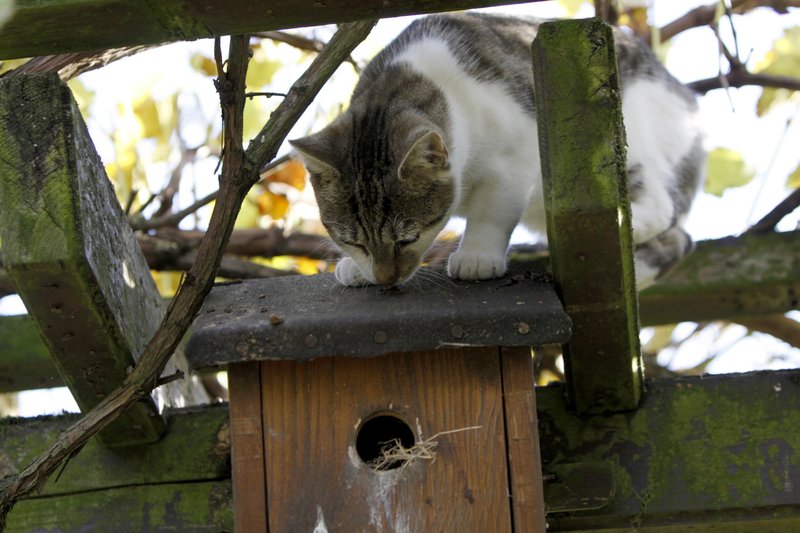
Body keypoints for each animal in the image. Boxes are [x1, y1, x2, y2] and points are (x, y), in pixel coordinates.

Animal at [290, 11, 704, 286]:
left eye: (406, 238)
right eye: (352, 240)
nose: (385, 279)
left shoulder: (515, 158)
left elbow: (493, 211)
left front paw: (477, 256)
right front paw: (354, 269)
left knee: (659, 210)